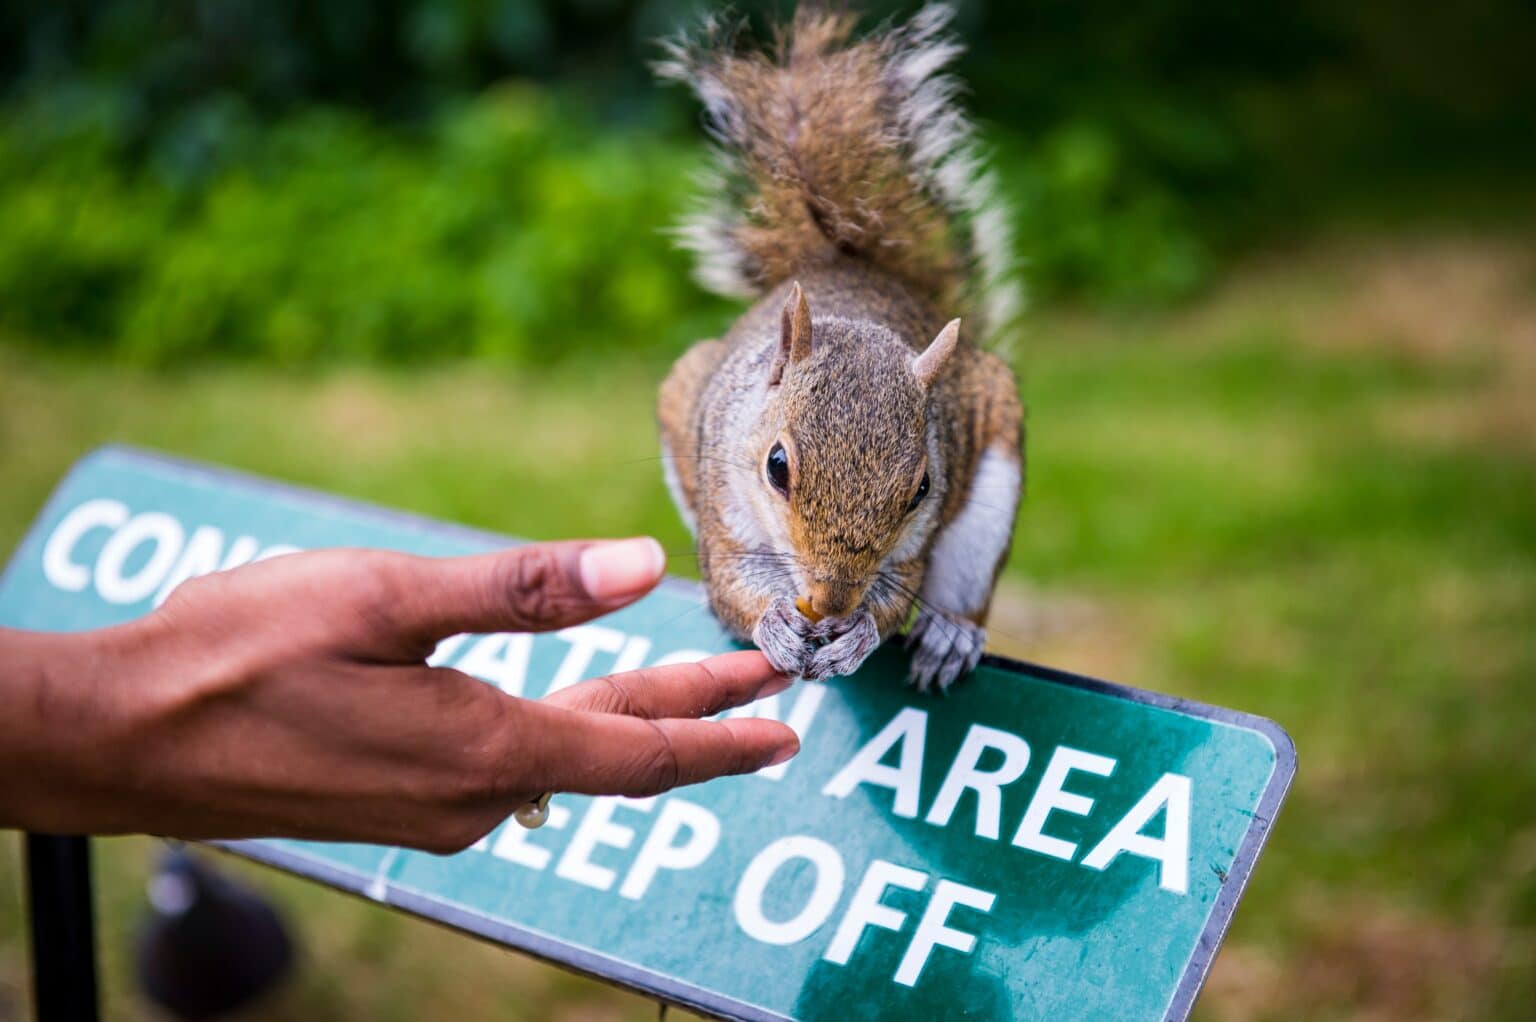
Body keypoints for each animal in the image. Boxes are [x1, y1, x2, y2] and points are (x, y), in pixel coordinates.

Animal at [654, 4, 1024, 692]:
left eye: (923, 488)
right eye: (776, 466)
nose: (831, 602)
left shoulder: (916, 539)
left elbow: (897, 594)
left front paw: (861, 634)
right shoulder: (723, 509)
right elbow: (732, 584)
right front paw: (772, 623)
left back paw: (952, 635)